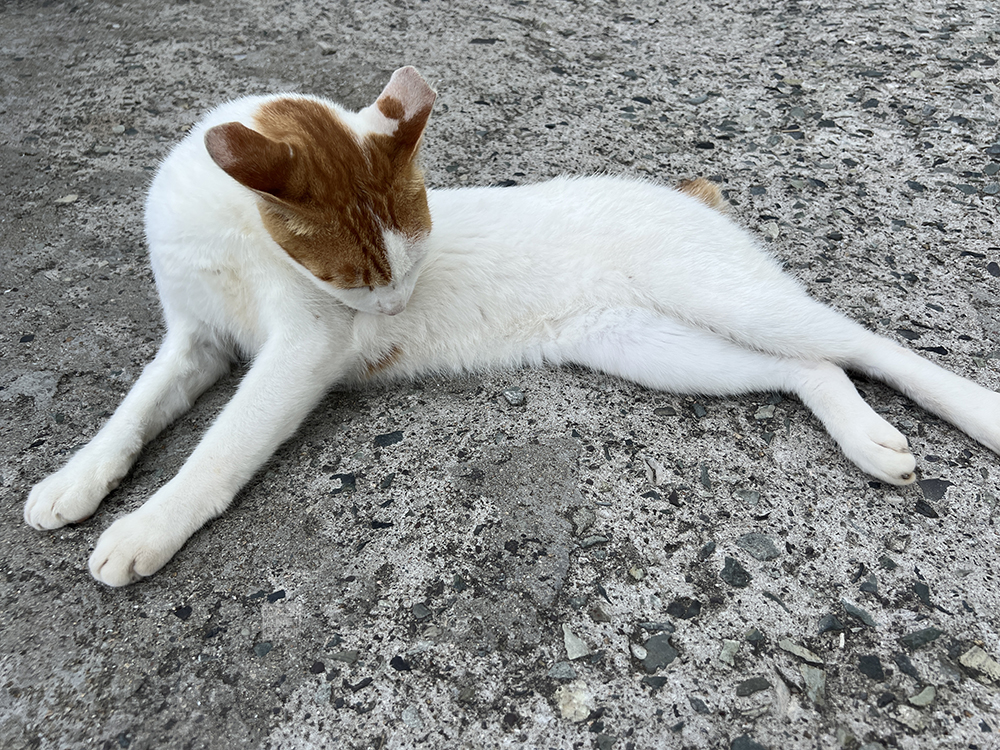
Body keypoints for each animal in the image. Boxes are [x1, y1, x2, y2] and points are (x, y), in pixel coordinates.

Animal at [24, 66, 1000, 587]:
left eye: (398, 274)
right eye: (365, 277)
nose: (394, 312)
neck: (228, 237)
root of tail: (679, 194)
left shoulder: (300, 350)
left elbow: (215, 451)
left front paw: (147, 529)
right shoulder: (194, 341)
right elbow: (131, 414)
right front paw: (74, 483)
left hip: (719, 296)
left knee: (863, 345)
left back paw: (976, 414)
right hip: (655, 347)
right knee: (808, 368)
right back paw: (869, 440)